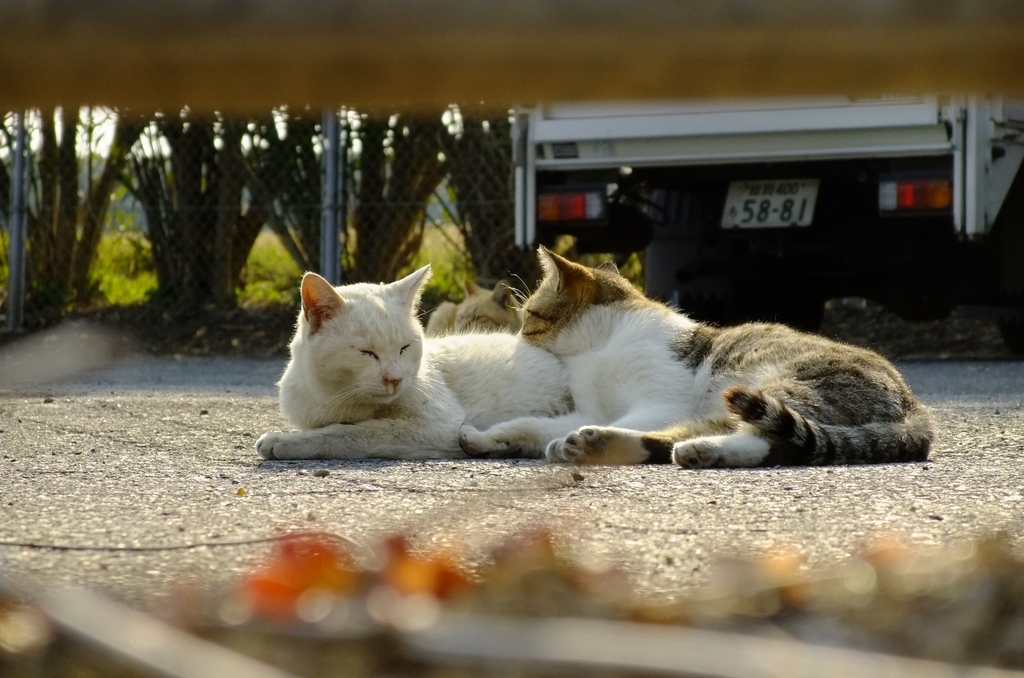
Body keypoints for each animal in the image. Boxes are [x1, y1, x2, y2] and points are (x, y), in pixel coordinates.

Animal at [254, 266, 573, 462]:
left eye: (404, 348)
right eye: (367, 353)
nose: (395, 379)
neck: (335, 397)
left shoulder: (438, 425)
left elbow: (348, 433)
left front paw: (284, 441)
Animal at [464, 248, 937, 467]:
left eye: (528, 315)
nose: (514, 335)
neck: (595, 350)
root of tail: (917, 408)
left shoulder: (661, 401)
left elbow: (628, 416)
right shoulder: (590, 409)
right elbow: (530, 424)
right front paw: (490, 436)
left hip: (777, 385)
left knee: (768, 438)